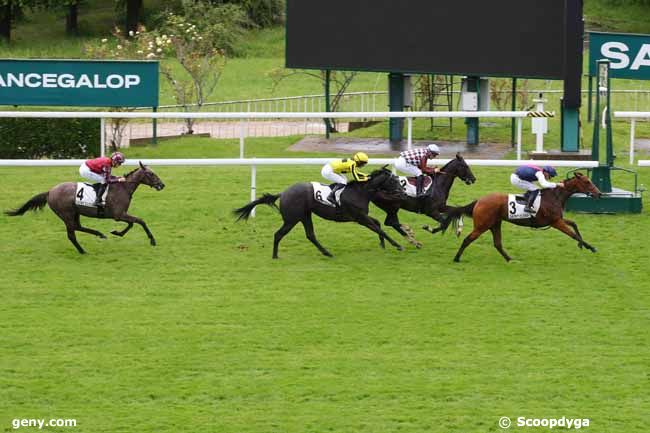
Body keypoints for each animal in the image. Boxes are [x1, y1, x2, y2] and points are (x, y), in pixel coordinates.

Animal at [5, 164, 165, 255]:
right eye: (151, 174)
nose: (161, 185)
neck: (123, 187)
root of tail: (50, 192)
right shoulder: (119, 214)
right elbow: (140, 221)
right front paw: (152, 240)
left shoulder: (120, 215)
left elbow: (132, 224)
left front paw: (116, 232)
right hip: (66, 214)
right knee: (72, 234)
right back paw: (83, 251)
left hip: (74, 213)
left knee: (77, 227)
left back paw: (99, 234)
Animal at [233, 166, 404, 258]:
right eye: (394, 180)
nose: (402, 192)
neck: (360, 192)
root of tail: (283, 193)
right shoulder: (359, 218)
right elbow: (379, 229)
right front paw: (397, 245)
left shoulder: (362, 216)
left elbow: (378, 224)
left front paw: (383, 245)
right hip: (292, 219)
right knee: (278, 234)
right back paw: (275, 256)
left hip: (305, 216)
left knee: (310, 235)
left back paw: (326, 252)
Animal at [438, 171, 600, 260]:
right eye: (587, 181)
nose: (599, 193)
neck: (554, 196)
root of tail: (479, 201)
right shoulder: (556, 222)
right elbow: (573, 234)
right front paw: (590, 247)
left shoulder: (557, 219)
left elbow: (574, 224)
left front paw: (583, 245)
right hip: (482, 225)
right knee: (468, 239)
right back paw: (457, 258)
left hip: (495, 224)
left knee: (497, 244)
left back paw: (510, 259)